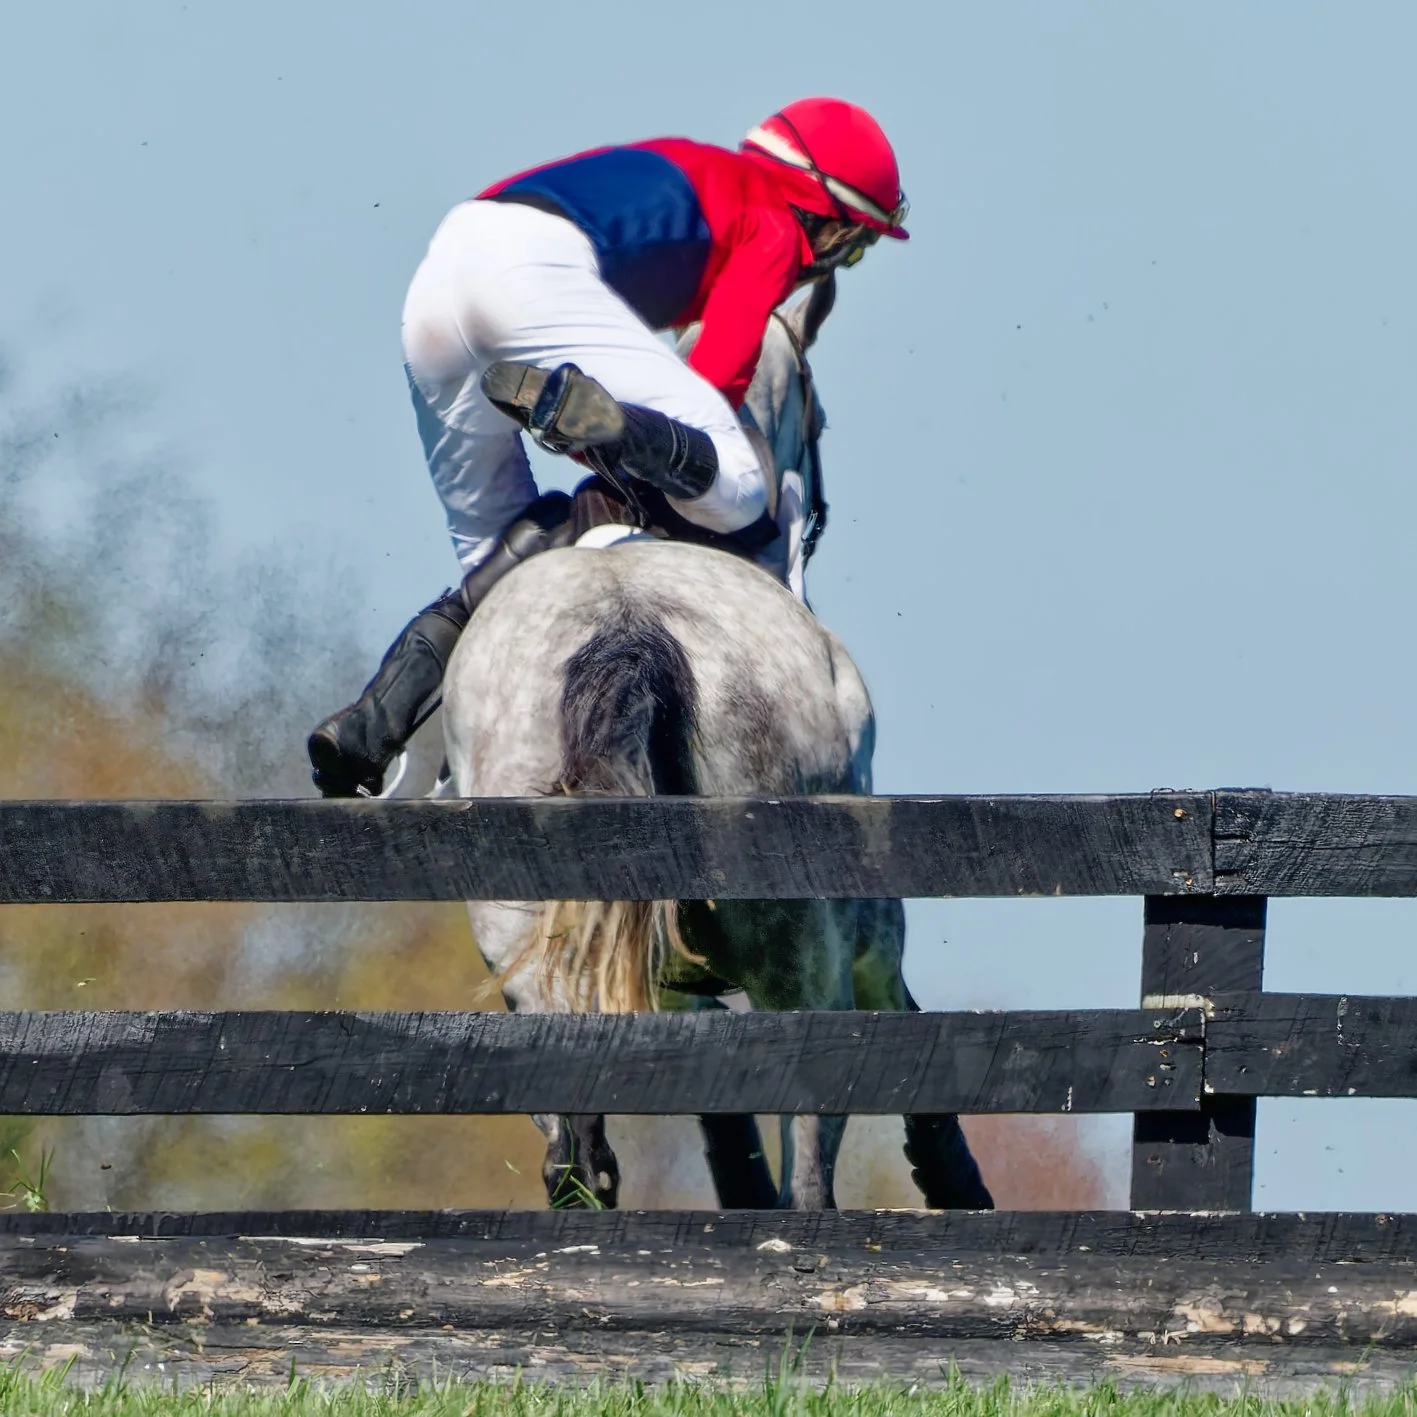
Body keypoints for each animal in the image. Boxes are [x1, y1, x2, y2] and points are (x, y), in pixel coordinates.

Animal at [441, 285, 993, 1210]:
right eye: (820, 415)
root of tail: (625, 622)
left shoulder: (661, 986)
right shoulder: (868, 936)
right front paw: (949, 1174)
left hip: (534, 957)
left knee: (574, 1153)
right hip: (800, 967)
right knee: (809, 1172)